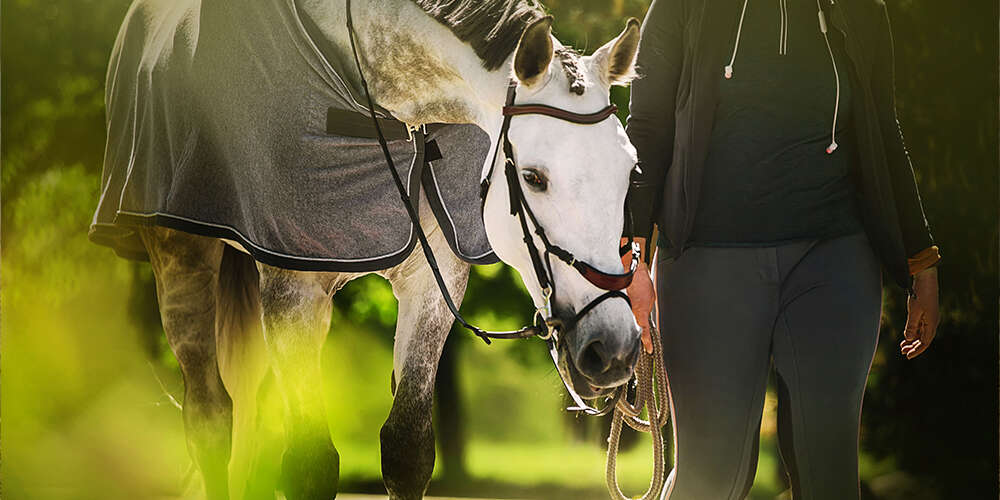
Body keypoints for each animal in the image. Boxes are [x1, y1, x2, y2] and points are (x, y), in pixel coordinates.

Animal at [97, 0, 643, 498]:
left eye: (631, 172)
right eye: (532, 177)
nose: (613, 347)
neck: (390, 106)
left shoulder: (433, 283)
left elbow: (406, 450)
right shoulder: (292, 289)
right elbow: (310, 465)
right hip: (181, 260)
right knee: (211, 419)